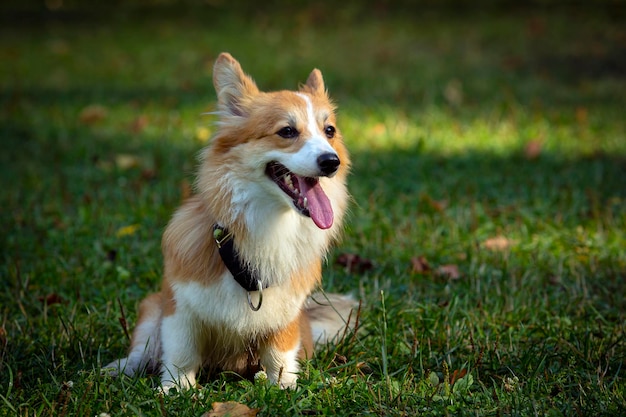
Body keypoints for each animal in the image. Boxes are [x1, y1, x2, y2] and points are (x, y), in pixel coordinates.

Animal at [105, 52, 354, 390]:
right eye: (287, 131)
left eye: (329, 131)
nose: (331, 162)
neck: (269, 222)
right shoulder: (179, 307)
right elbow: (180, 351)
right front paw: (176, 389)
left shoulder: (286, 312)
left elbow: (280, 355)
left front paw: (285, 387)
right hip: (151, 307)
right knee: (142, 351)